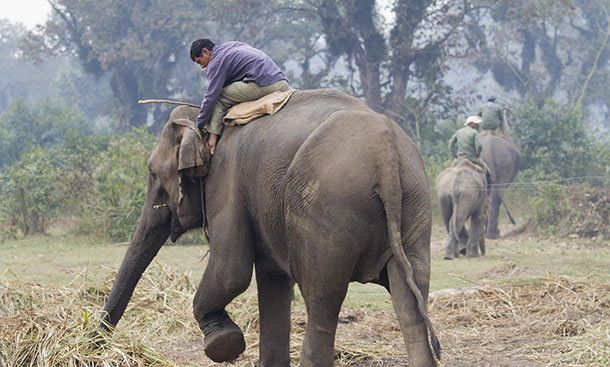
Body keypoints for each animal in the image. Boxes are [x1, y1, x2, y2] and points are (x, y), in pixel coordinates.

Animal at [102, 90, 440, 367]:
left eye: (153, 175)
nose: (99, 340)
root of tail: (385, 154)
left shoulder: (227, 183)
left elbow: (232, 271)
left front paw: (223, 343)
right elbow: (271, 278)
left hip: (326, 209)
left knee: (322, 303)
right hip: (415, 203)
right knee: (411, 304)